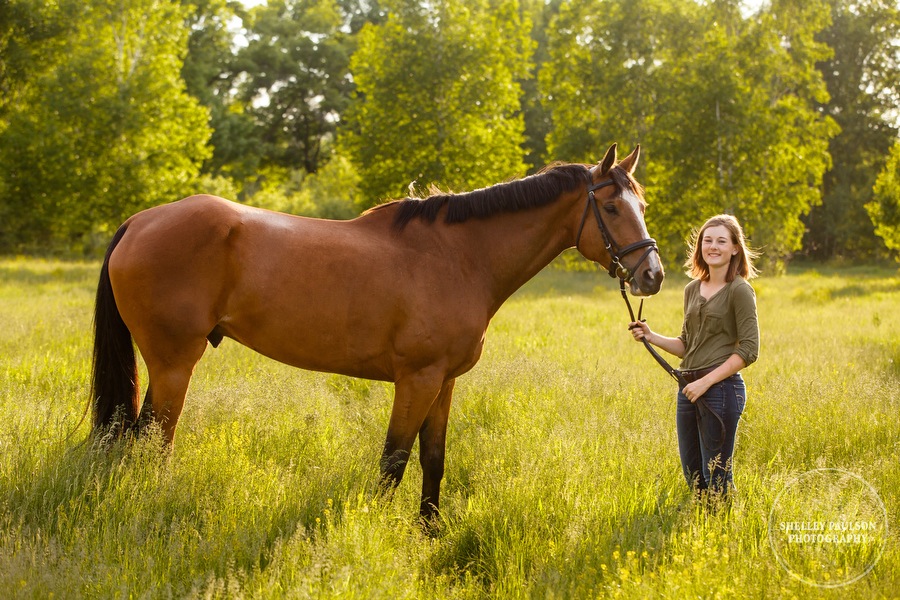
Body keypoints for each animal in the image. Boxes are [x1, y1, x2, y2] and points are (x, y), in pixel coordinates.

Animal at [91, 143, 664, 516]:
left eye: (641, 205)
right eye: (611, 206)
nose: (652, 275)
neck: (457, 257)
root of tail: (140, 221)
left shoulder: (443, 382)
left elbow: (433, 460)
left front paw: (429, 531)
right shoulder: (416, 379)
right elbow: (394, 462)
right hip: (174, 364)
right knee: (152, 439)